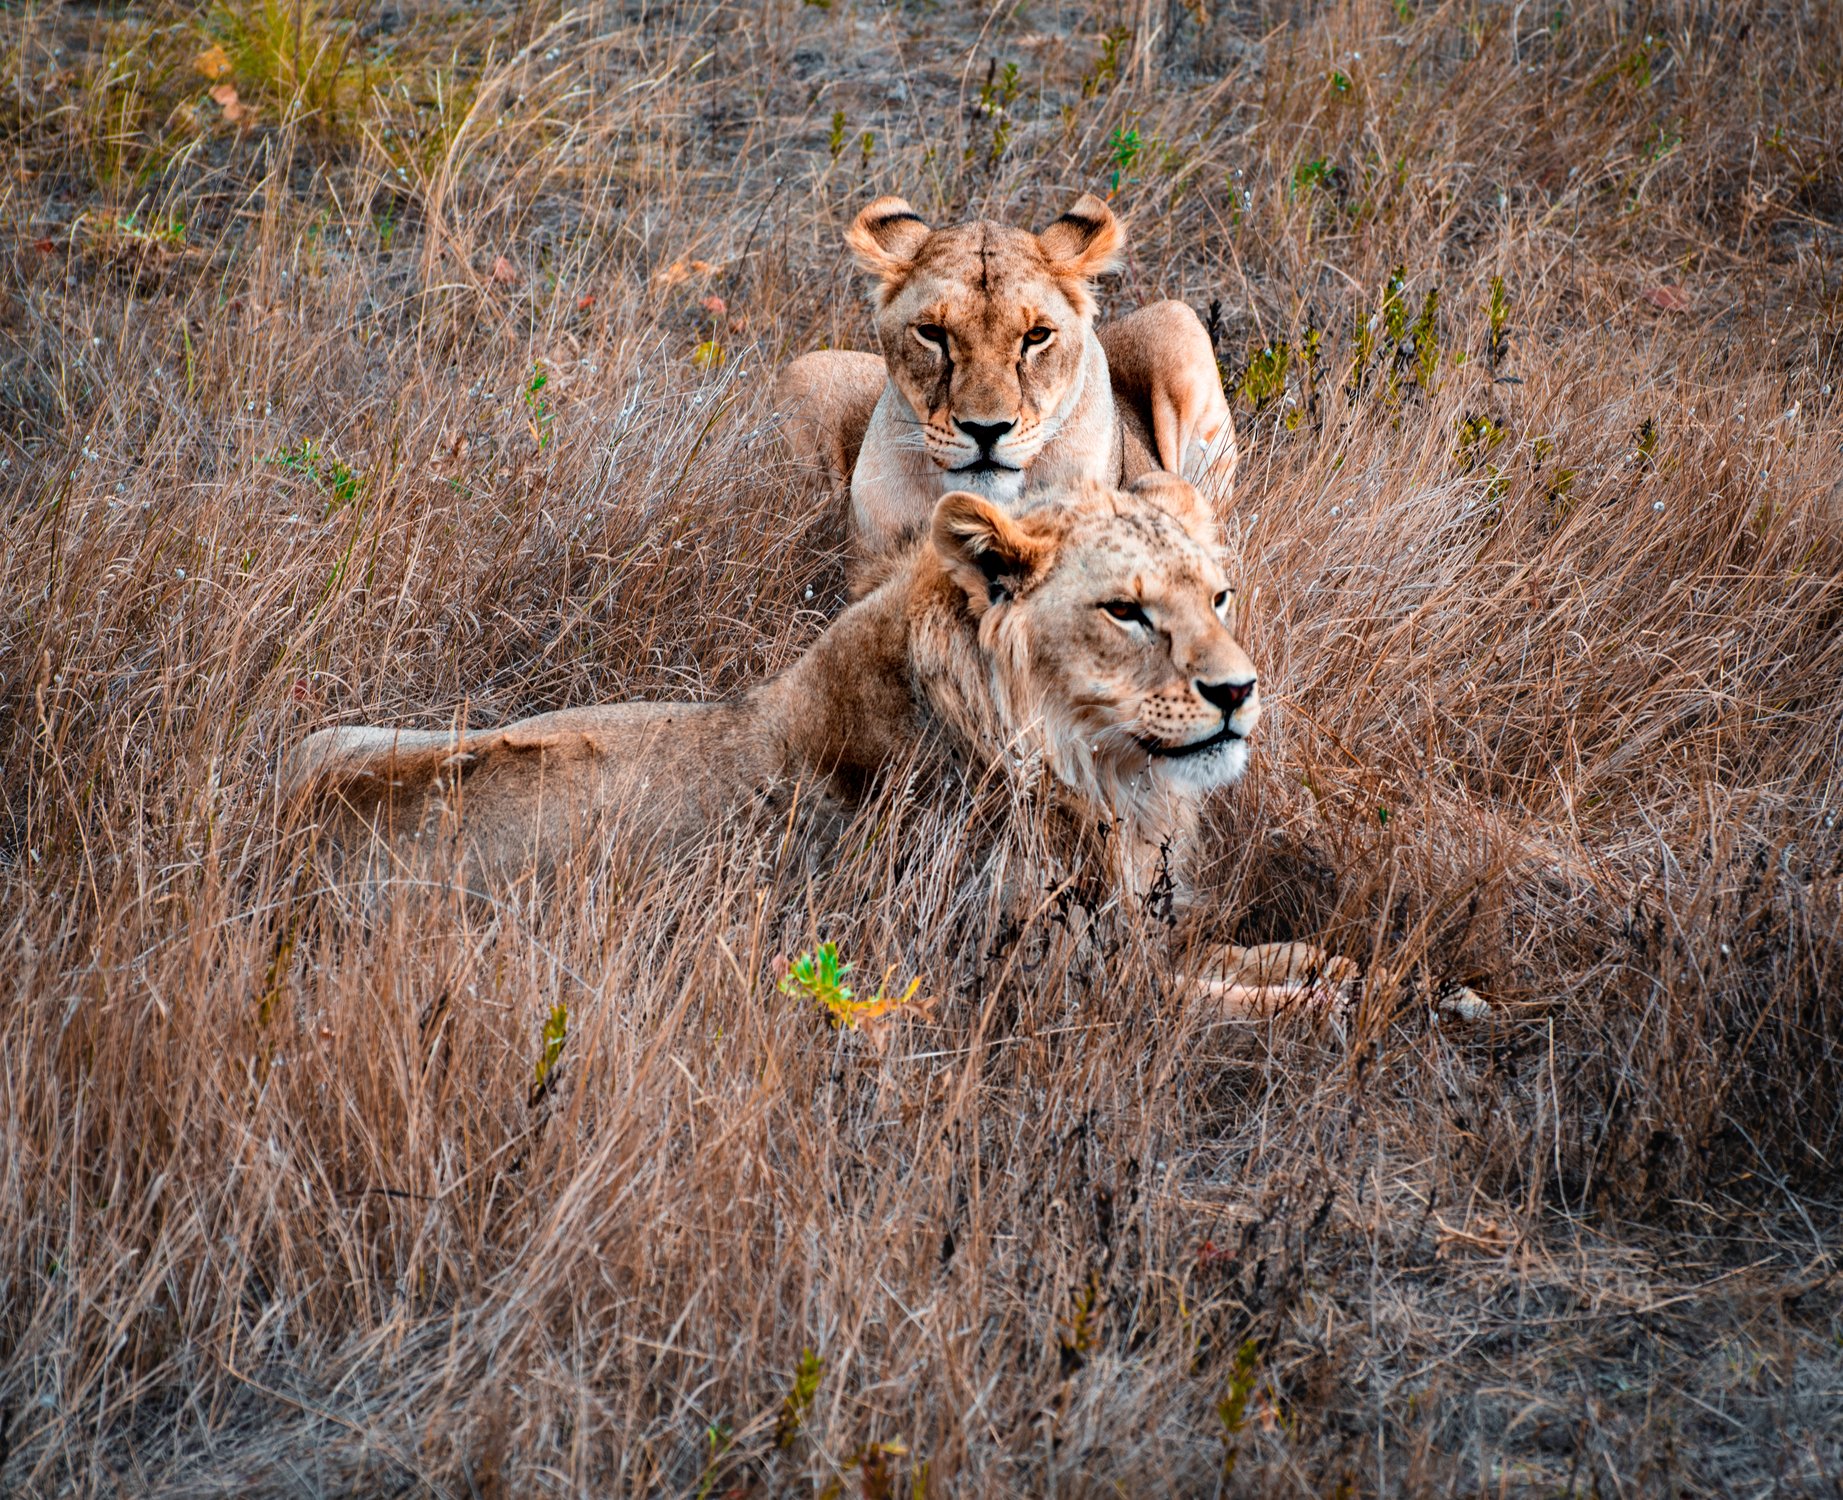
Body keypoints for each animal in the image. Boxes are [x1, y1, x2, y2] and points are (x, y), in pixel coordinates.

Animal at [287, 482, 1489, 1031]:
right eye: (1126, 611)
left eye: (1220, 597)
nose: (1237, 693)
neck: (1097, 779)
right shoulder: (1037, 991)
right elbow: (1276, 1001)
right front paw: (1400, 1003)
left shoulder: (1135, 933)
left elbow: (1292, 957)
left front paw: (1419, 981)